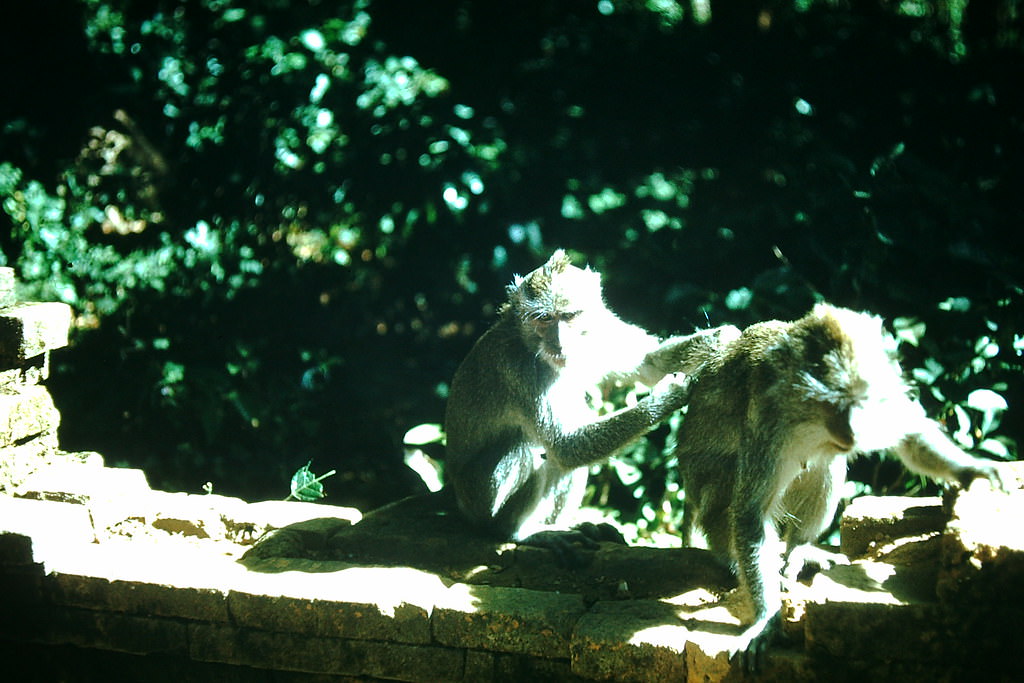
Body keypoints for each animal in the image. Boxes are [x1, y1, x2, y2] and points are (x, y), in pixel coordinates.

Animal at [444, 250, 741, 561]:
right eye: (544, 319)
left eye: (570, 316)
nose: (560, 343)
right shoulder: (519, 371)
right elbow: (566, 445)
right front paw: (670, 395)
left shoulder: (600, 330)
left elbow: (648, 363)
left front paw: (723, 336)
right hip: (479, 501)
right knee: (526, 448)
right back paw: (517, 531)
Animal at [667, 305, 1003, 671]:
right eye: (835, 403)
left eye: (865, 401)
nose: (856, 431)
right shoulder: (766, 421)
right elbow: (750, 514)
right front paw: (767, 619)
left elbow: (910, 432)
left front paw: (970, 468)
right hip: (705, 485)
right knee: (731, 483)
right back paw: (738, 560)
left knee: (826, 466)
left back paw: (800, 548)